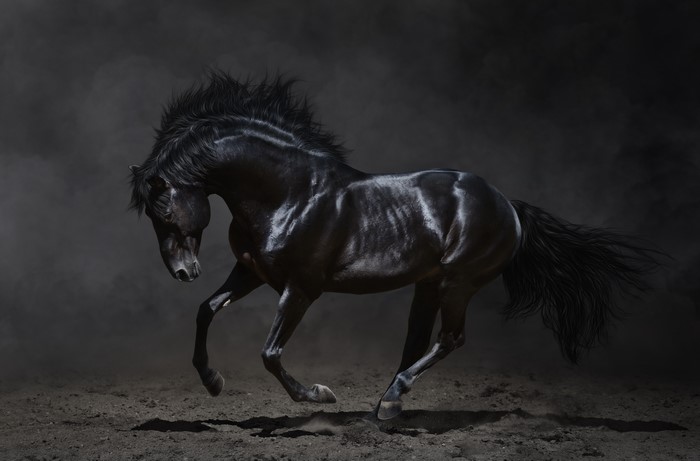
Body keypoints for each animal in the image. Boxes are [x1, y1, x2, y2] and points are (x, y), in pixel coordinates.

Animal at [129, 72, 659, 420]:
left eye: (164, 211)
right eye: (152, 218)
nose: (183, 272)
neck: (290, 194)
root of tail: (508, 205)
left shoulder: (300, 289)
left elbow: (271, 353)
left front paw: (319, 395)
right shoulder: (252, 273)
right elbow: (206, 310)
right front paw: (213, 381)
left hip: (458, 282)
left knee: (449, 339)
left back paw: (389, 402)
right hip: (429, 285)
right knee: (417, 342)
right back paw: (384, 407)